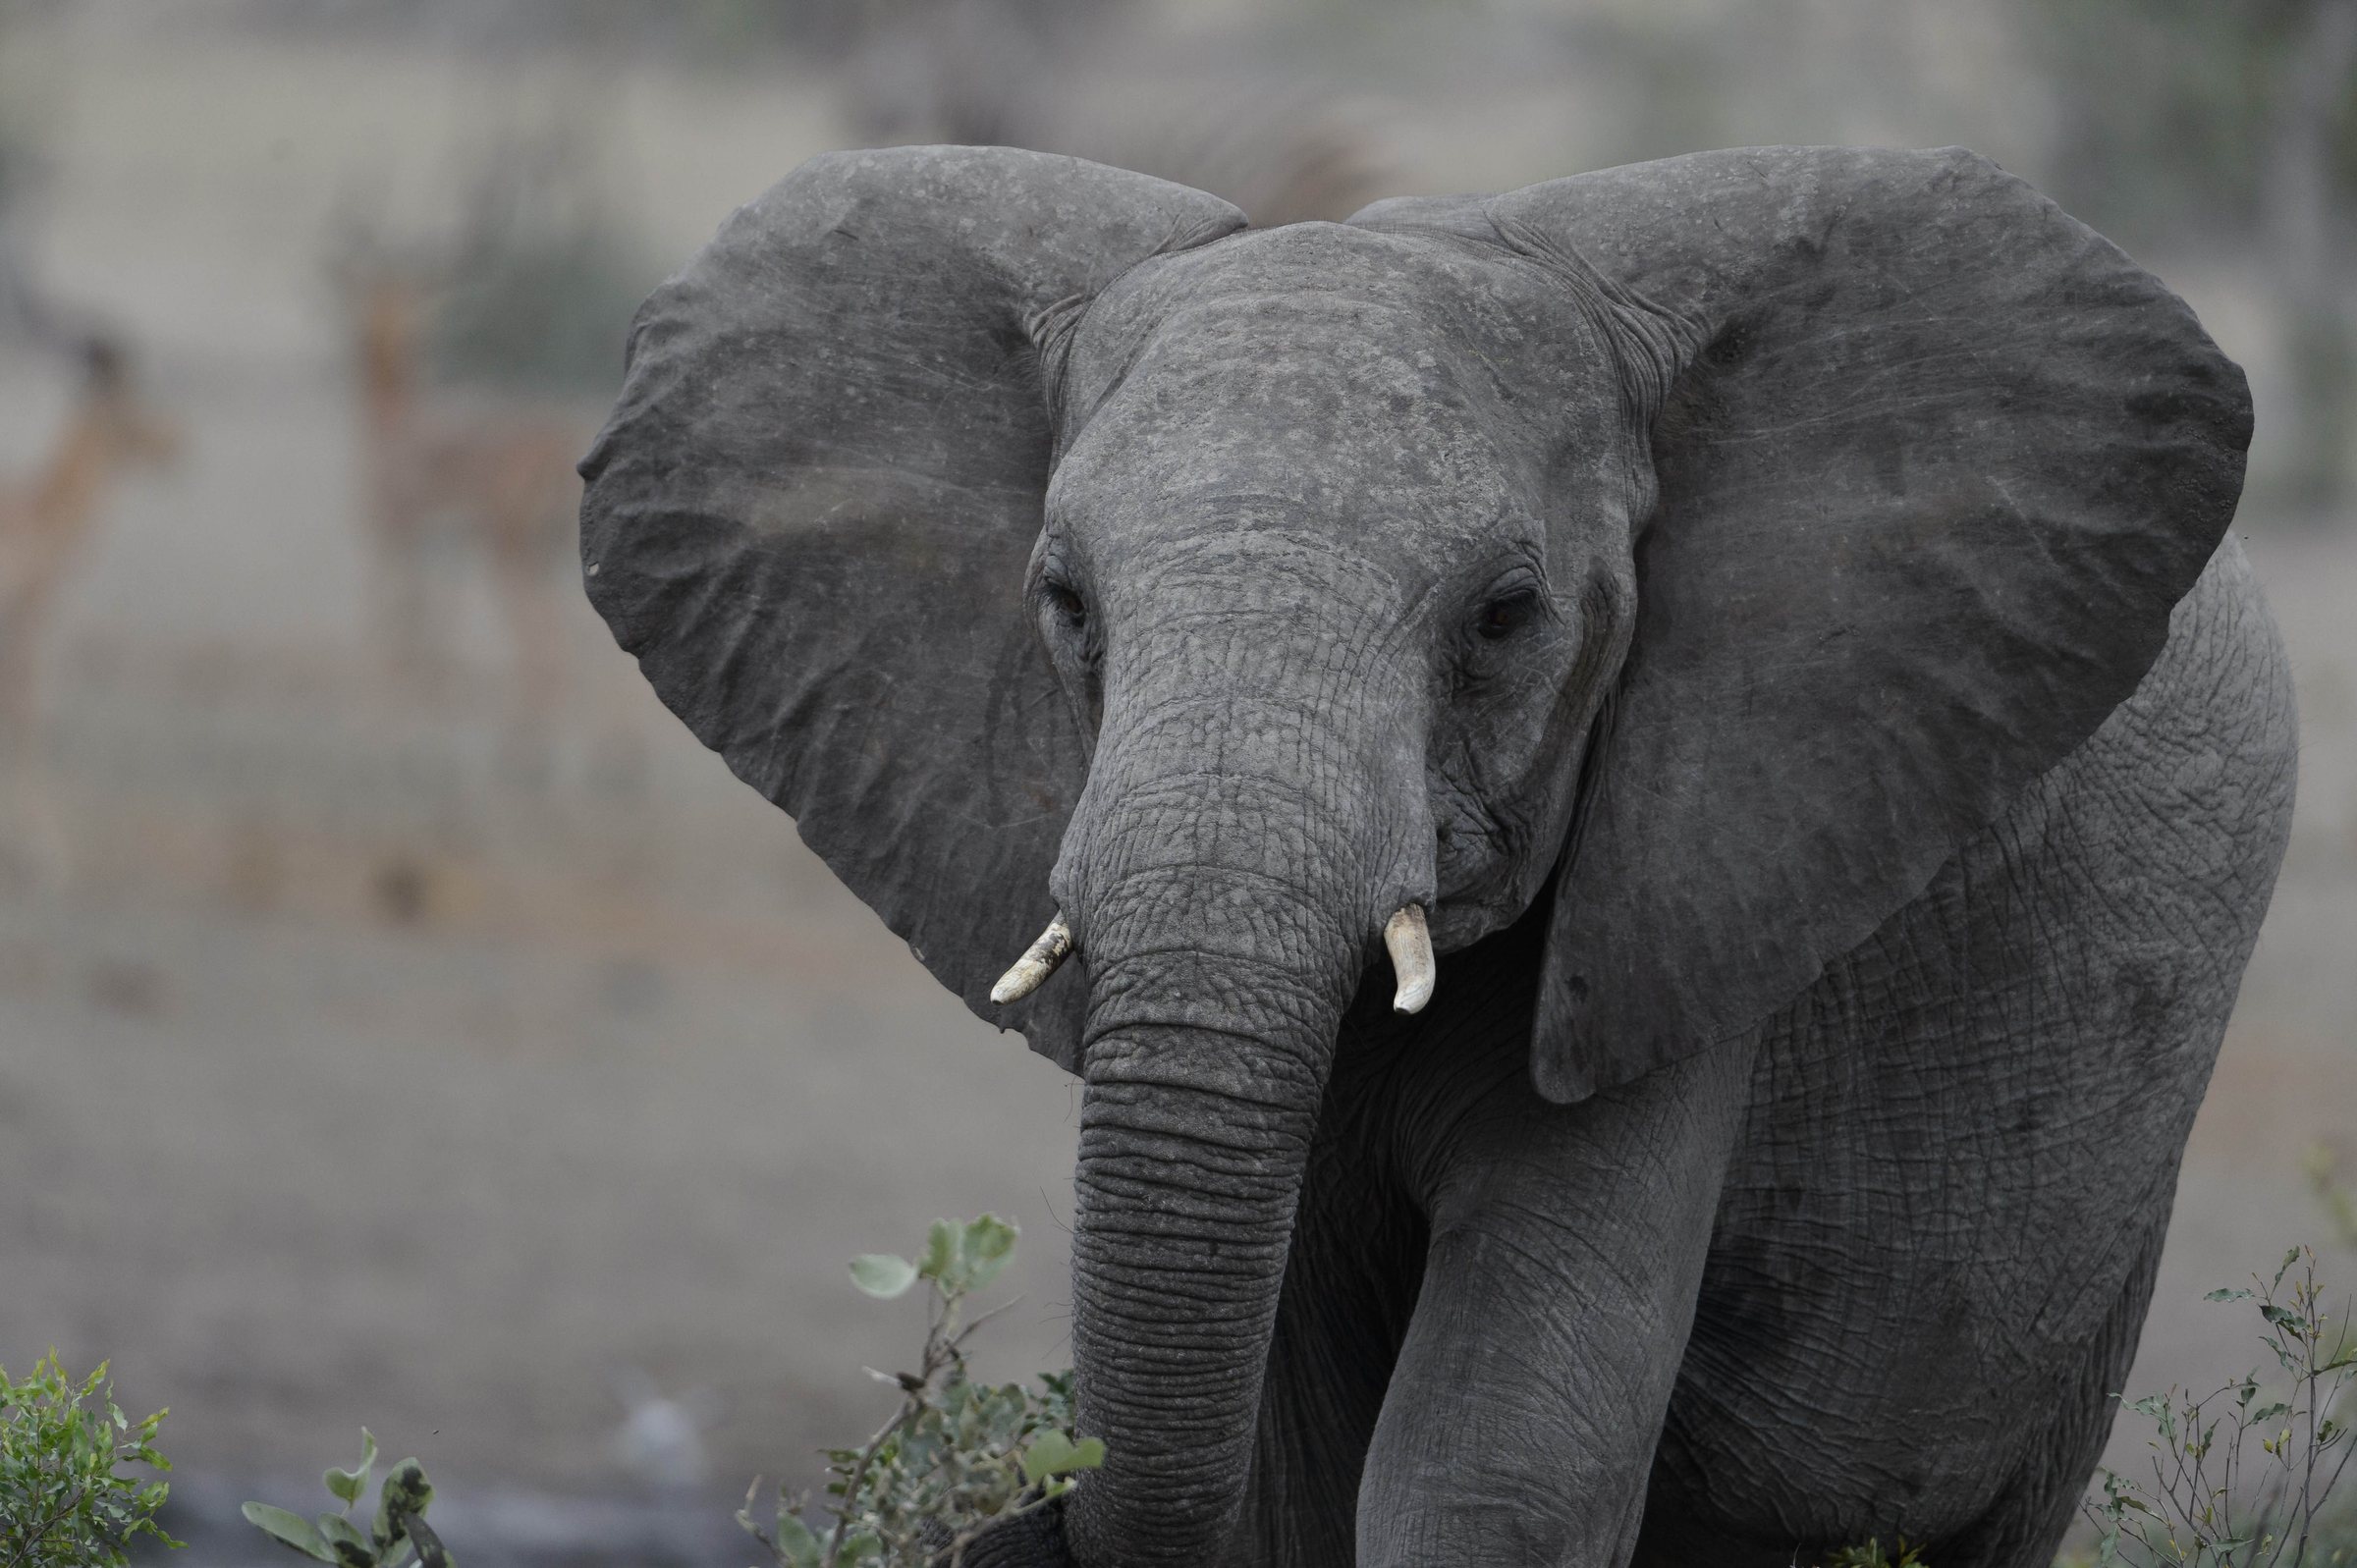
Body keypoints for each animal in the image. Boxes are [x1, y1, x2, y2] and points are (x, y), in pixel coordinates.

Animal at [577, 143, 2296, 1566]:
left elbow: (1498, 1460)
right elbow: (1288, 1460)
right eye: (1063, 602)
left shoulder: (1702, 874)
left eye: (1505, 617)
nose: (1033, 1525)